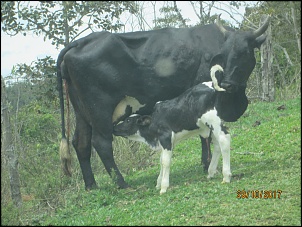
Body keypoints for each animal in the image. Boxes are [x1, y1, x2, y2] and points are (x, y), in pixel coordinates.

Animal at [113, 65, 231, 193]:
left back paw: (226, 176)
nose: (114, 128)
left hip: (213, 121)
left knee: (224, 140)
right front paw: (158, 183)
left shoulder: (166, 137)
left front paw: (163, 187)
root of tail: (212, 86)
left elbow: (165, 161)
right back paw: (211, 172)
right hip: (212, 125)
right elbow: (161, 160)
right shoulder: (165, 142)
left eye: (128, 121)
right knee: (217, 145)